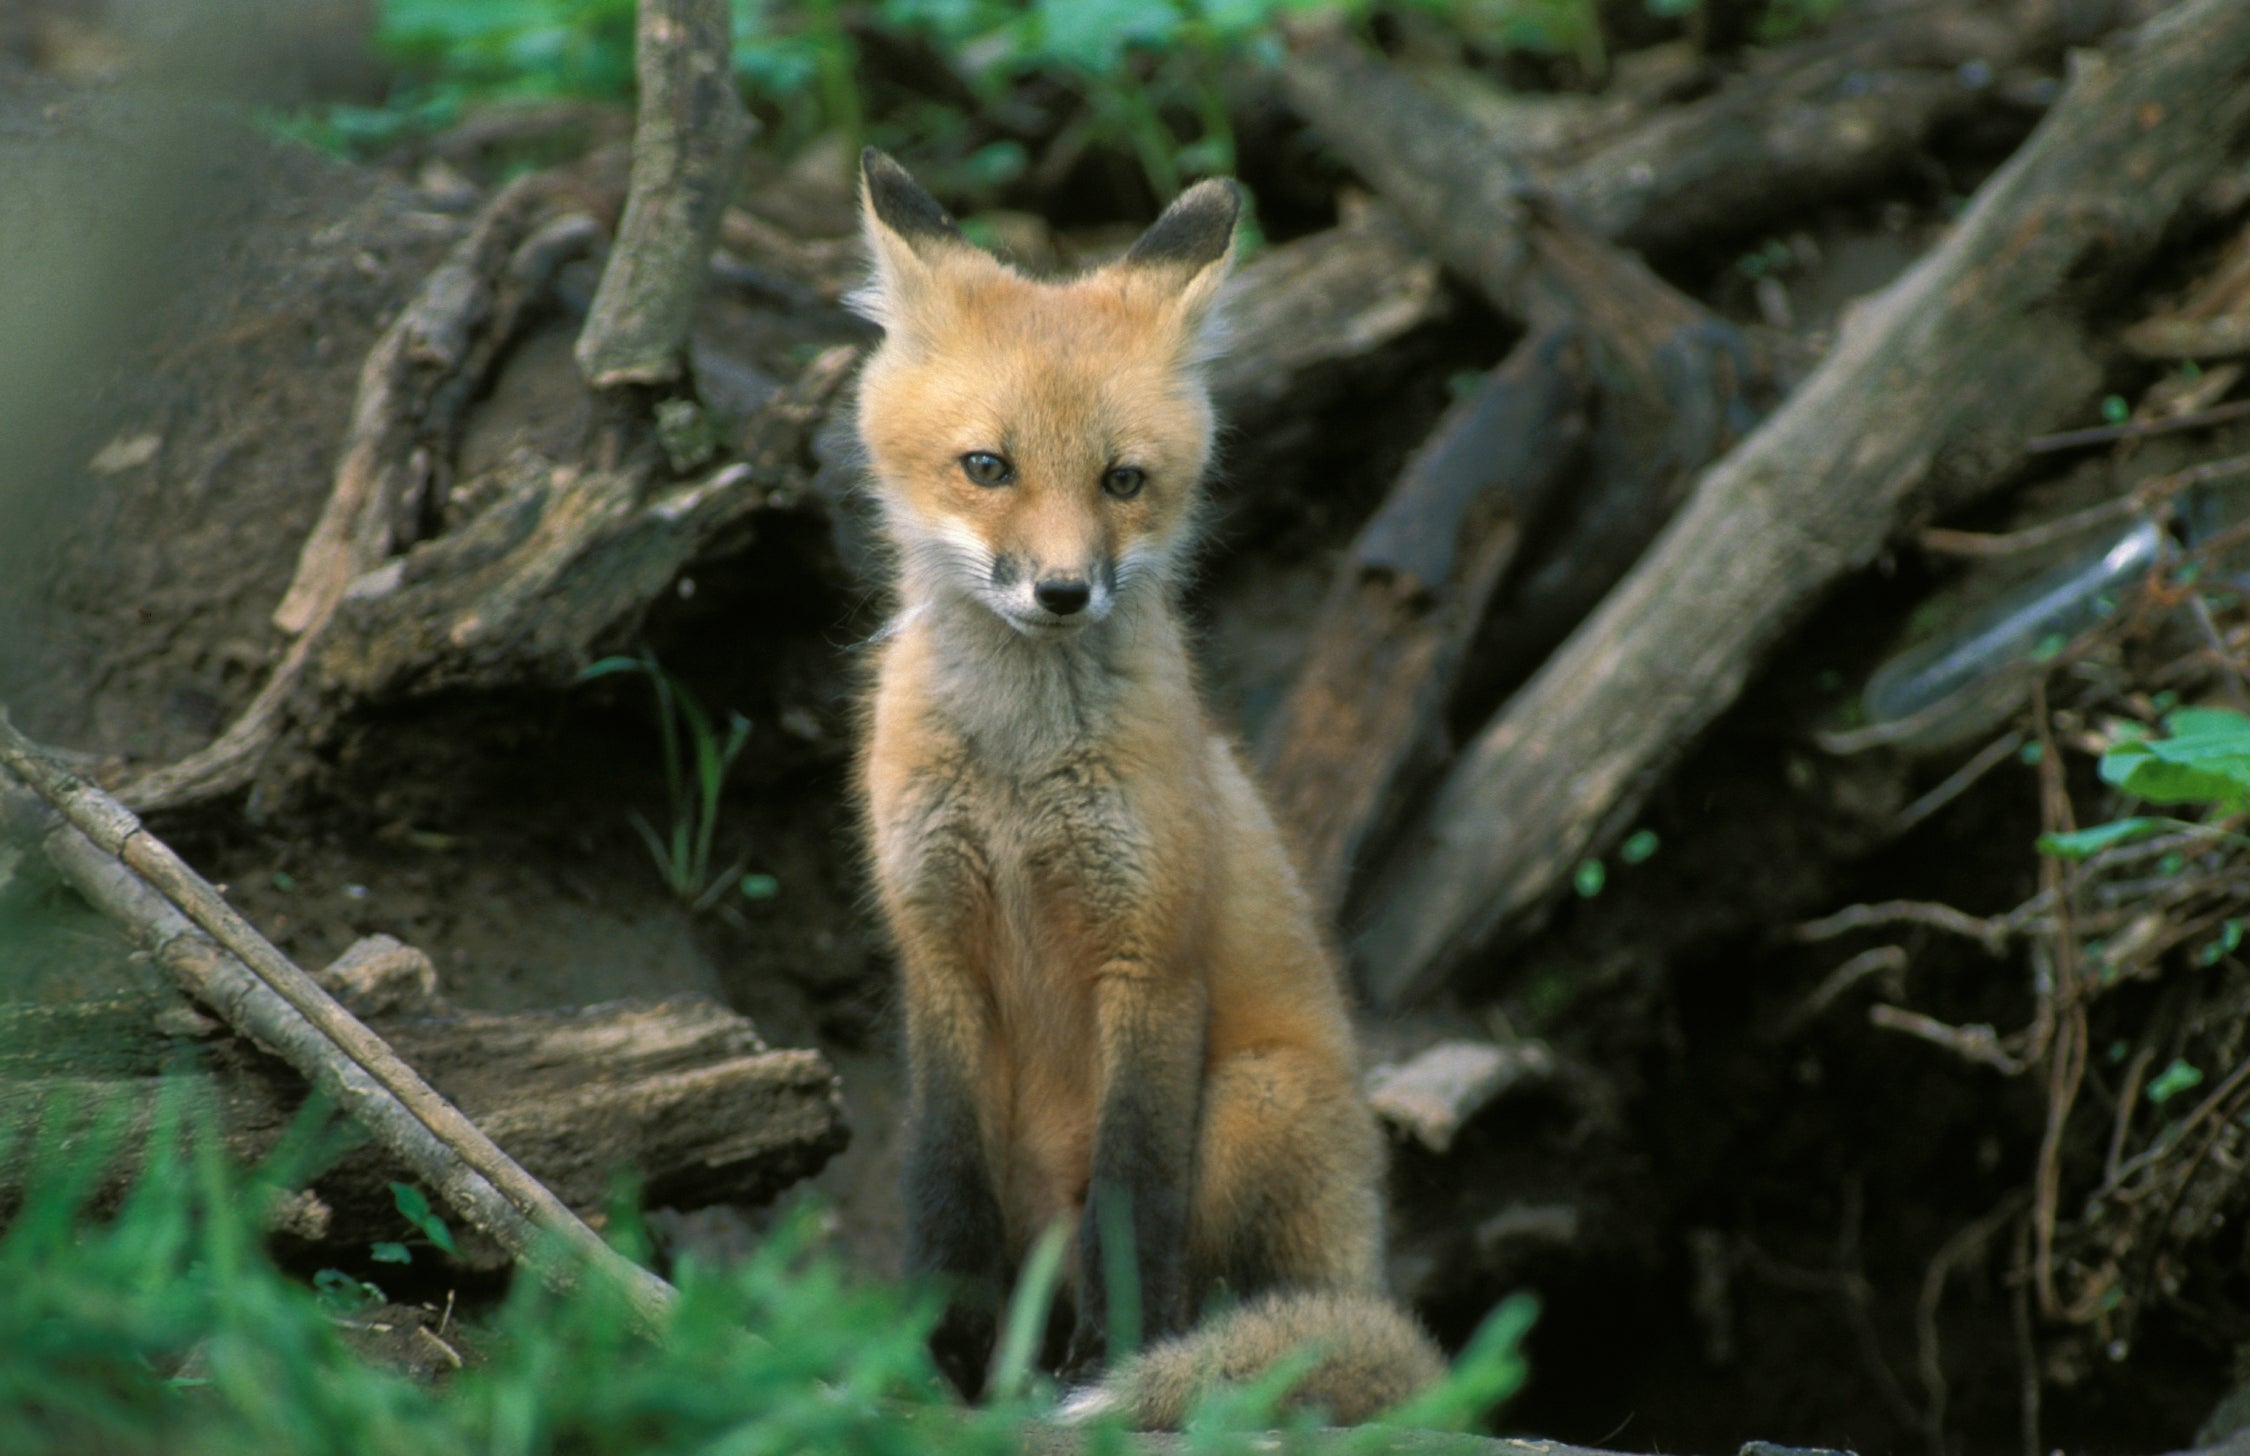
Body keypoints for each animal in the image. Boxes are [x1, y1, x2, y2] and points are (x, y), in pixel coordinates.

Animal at [846, 150, 1440, 1431]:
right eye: (987, 466)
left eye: (1123, 480)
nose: (1064, 591)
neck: (1019, 777)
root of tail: (1369, 1265)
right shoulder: (936, 948)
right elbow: (939, 1181)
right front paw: (939, 1355)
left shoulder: (1151, 957)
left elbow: (1135, 1190)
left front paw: (1107, 1362)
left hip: (1256, 1098)